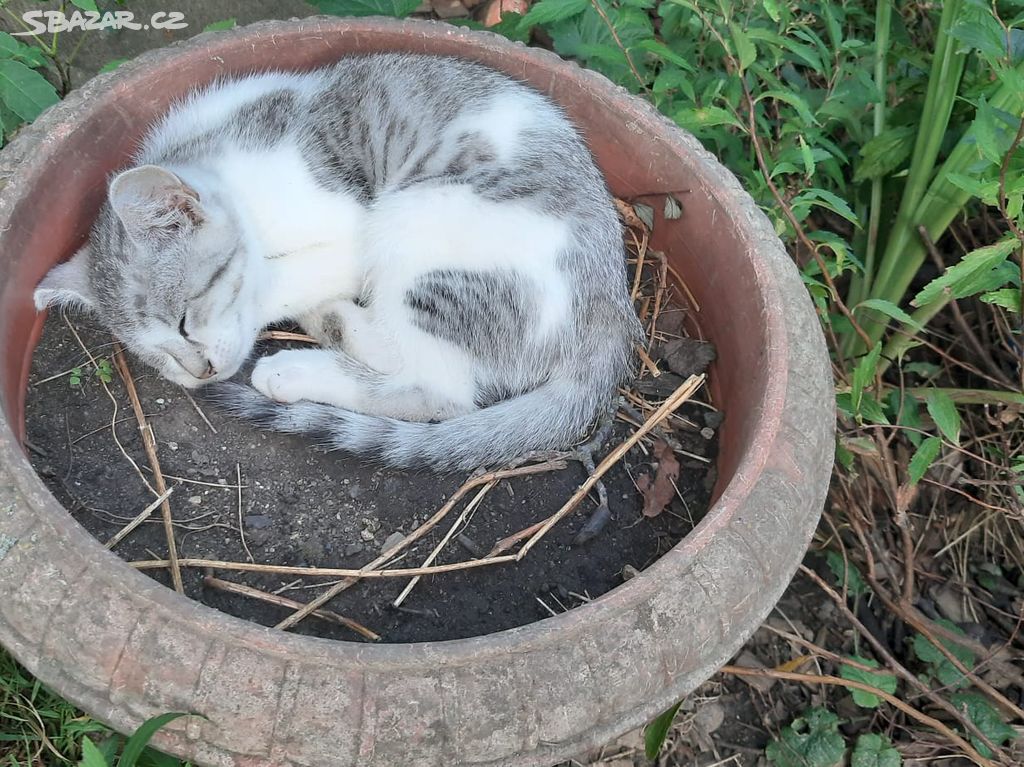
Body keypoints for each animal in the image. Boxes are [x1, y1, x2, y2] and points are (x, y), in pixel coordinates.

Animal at [36, 53, 643, 469]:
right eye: (156, 355)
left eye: (185, 320)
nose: (198, 372)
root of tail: (612, 318)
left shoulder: (349, 220)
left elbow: (269, 278)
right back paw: (331, 322)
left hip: (416, 215)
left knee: (441, 392)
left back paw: (295, 365)